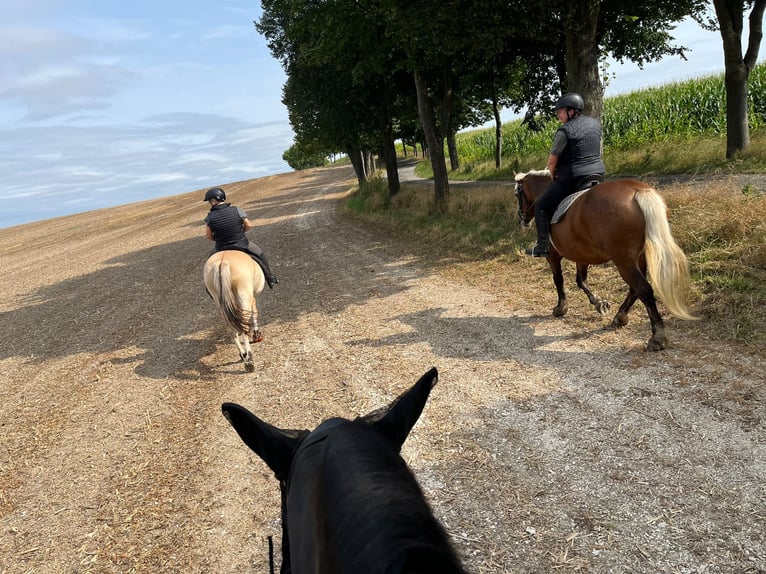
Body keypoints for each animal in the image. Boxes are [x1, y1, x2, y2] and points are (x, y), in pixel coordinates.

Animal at [512, 171, 700, 352]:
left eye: (517, 194)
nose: (522, 218)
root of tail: (638, 191)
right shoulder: (582, 255)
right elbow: (581, 281)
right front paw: (599, 303)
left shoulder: (552, 255)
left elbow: (559, 280)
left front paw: (561, 308)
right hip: (638, 258)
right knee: (635, 289)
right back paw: (620, 317)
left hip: (623, 260)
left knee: (643, 289)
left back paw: (657, 338)